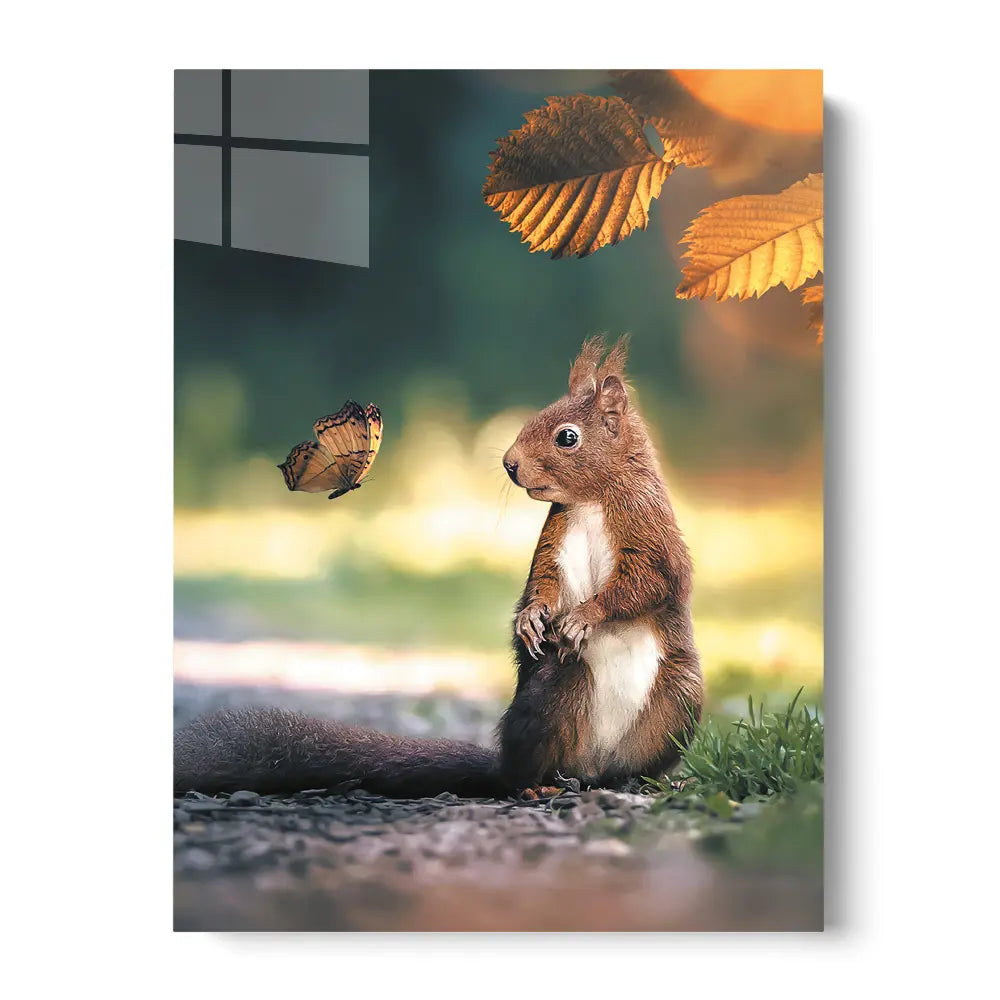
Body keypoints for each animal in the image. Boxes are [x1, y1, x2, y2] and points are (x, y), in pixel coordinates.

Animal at [174, 336, 703, 798]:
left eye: (567, 437)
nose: (509, 463)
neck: (591, 499)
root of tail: (591, 769)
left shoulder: (650, 532)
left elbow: (647, 583)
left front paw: (582, 617)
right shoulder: (554, 541)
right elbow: (544, 582)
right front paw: (532, 619)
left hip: (679, 701)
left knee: (635, 763)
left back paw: (651, 781)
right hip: (555, 694)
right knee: (524, 768)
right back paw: (535, 785)